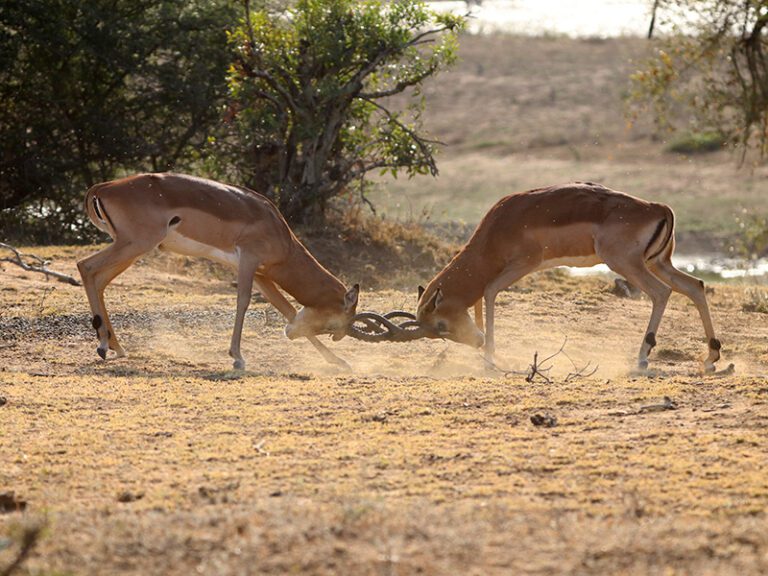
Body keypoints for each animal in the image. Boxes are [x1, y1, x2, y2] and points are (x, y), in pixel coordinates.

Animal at [77, 173, 361, 370]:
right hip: (135, 244)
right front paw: (238, 358)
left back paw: (115, 346)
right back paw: (103, 345)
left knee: (98, 279)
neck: (282, 236)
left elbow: (287, 309)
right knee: (86, 266)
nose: (290, 335)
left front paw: (339, 361)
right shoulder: (249, 261)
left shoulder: (261, 274)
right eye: (335, 321)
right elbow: (243, 301)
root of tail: (103, 187)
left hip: (131, 248)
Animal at [415, 182, 722, 372]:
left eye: (440, 324)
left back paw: (642, 358)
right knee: (695, 286)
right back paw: (712, 356)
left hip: (627, 264)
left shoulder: (523, 264)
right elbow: (481, 295)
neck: (497, 227)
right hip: (658, 263)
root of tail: (659, 208)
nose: (476, 342)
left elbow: (489, 291)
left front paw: (490, 359)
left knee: (661, 292)